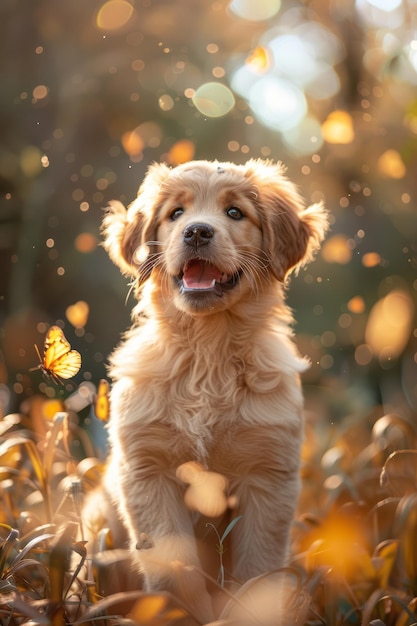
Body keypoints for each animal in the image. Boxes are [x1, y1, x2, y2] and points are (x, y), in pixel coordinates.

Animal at [92, 158, 326, 616]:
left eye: (235, 212)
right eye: (175, 214)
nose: (197, 232)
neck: (207, 354)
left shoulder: (267, 478)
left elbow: (256, 570)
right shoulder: (148, 472)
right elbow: (174, 568)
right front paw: (174, 614)